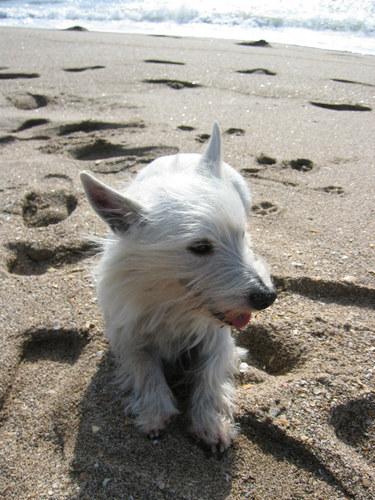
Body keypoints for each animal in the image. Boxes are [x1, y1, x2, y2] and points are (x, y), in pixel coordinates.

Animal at [81, 123, 276, 452]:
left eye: (241, 235)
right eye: (200, 247)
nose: (267, 297)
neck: (172, 303)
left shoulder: (219, 340)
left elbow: (209, 376)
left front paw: (211, 423)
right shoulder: (128, 337)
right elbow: (145, 369)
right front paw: (155, 411)